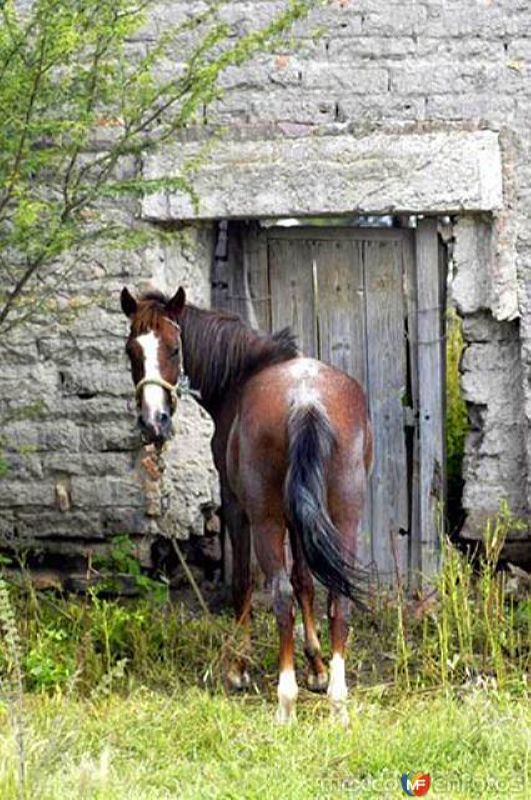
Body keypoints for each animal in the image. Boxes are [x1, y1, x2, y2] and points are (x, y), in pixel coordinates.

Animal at [120, 286, 372, 724]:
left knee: (279, 594)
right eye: (131, 350)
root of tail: (306, 401)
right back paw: (338, 699)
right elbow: (306, 581)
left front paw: (238, 667)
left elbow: (245, 582)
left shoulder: (236, 505)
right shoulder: (300, 515)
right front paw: (317, 667)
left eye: (173, 348)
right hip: (344, 516)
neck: (242, 376)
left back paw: (285, 701)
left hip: (266, 519)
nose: (154, 422)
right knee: (337, 595)